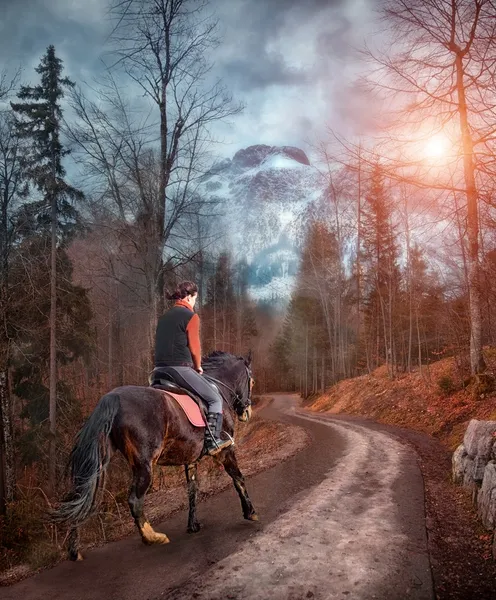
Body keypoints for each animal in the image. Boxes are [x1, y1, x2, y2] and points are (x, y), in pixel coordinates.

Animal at [52, 350, 258, 560]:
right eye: (252, 381)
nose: (247, 412)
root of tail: (112, 397)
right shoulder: (225, 451)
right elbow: (238, 477)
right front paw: (250, 512)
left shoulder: (190, 459)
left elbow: (192, 490)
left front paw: (193, 524)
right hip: (144, 465)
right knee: (134, 500)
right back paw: (152, 537)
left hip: (100, 462)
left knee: (80, 496)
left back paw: (74, 550)